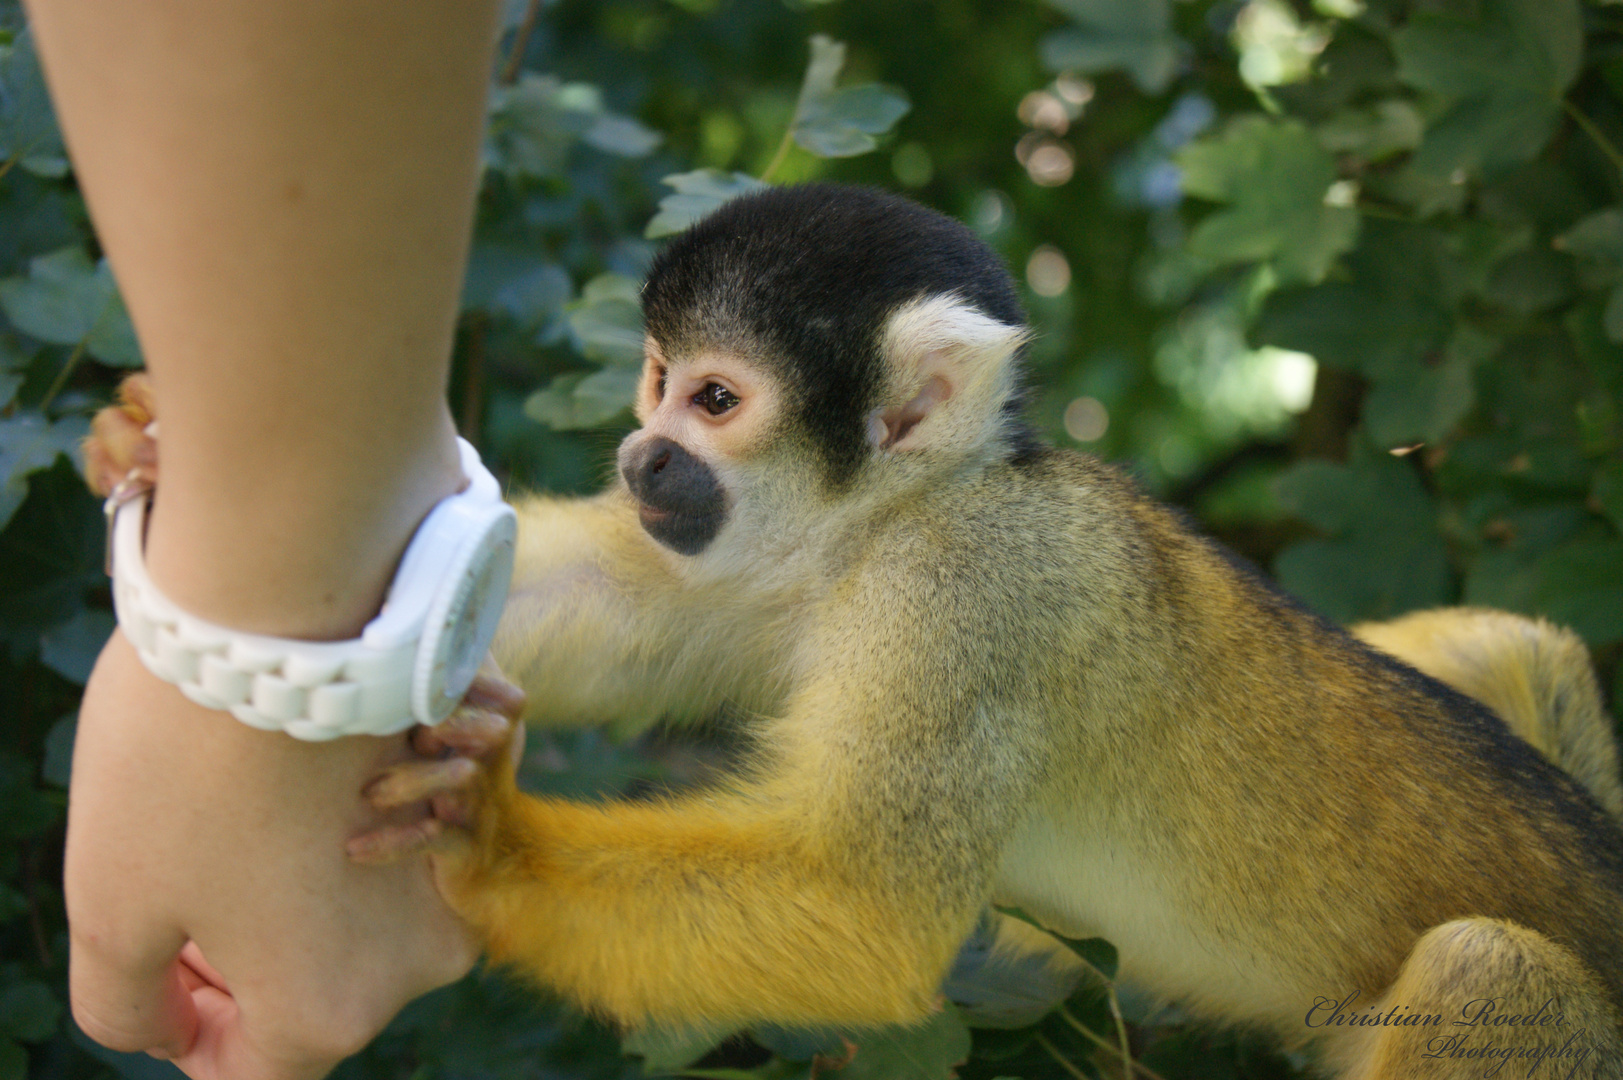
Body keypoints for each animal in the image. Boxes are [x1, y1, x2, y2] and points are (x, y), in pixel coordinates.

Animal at [85, 187, 1623, 1078]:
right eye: (657, 380)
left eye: (713, 400)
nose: (643, 456)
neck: (889, 522)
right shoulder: (766, 558)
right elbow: (604, 609)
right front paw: (144, 445)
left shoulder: (971, 598)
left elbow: (864, 910)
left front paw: (489, 844)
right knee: (1509, 647)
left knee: (1486, 970)